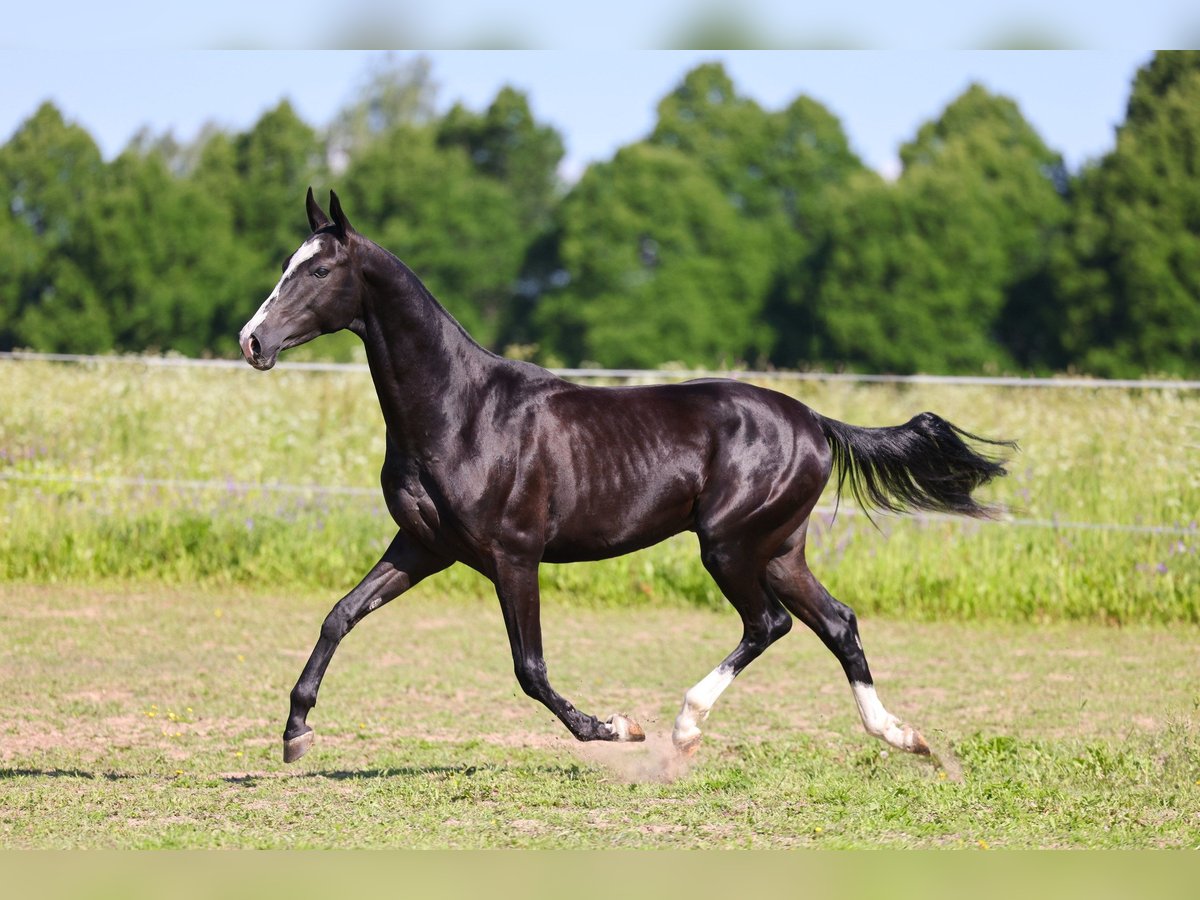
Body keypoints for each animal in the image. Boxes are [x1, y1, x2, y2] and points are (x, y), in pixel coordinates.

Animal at [236, 188, 1012, 763]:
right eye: (287, 263)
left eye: (316, 271)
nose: (251, 341)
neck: (461, 411)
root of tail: (815, 421)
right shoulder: (424, 547)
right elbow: (340, 614)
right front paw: (296, 733)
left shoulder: (512, 554)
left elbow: (530, 669)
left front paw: (613, 727)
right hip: (778, 549)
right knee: (837, 623)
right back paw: (903, 737)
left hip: (729, 545)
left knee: (769, 623)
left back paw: (685, 725)